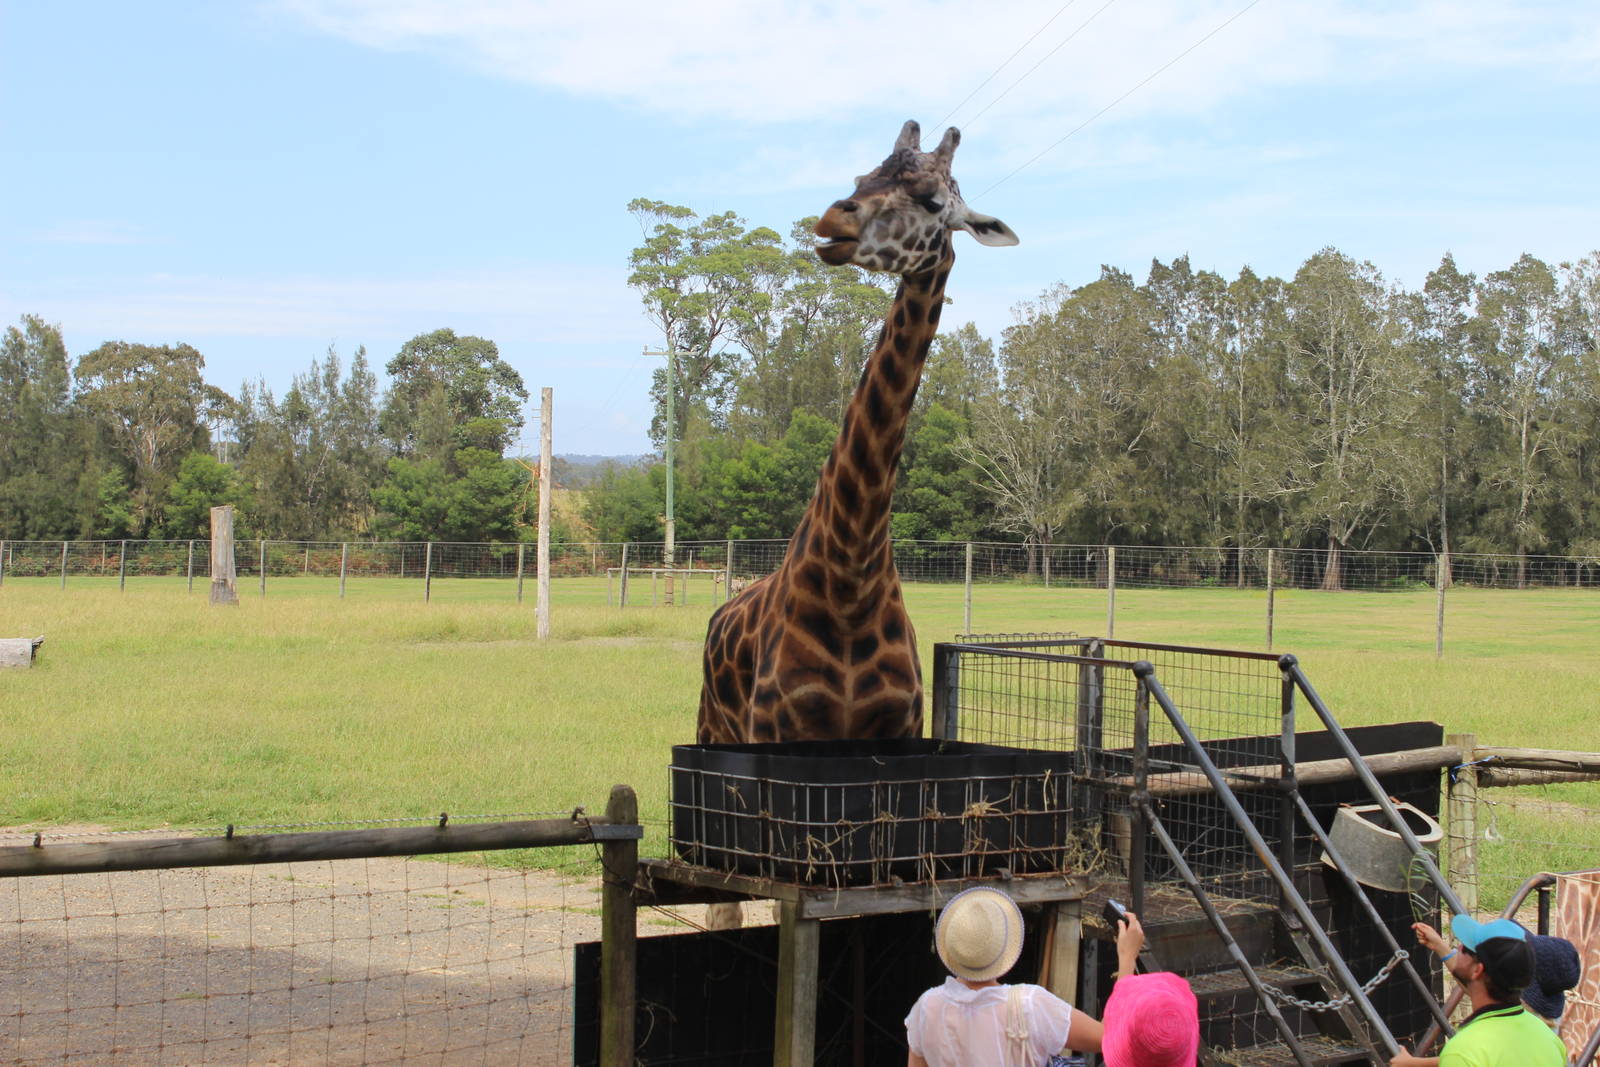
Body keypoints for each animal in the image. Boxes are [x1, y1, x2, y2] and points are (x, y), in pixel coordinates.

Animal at [697, 120, 1018, 747]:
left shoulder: (900, 730)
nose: (832, 221)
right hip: (711, 729)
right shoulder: (775, 734)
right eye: (861, 177)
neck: (851, 576)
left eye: (933, 200)